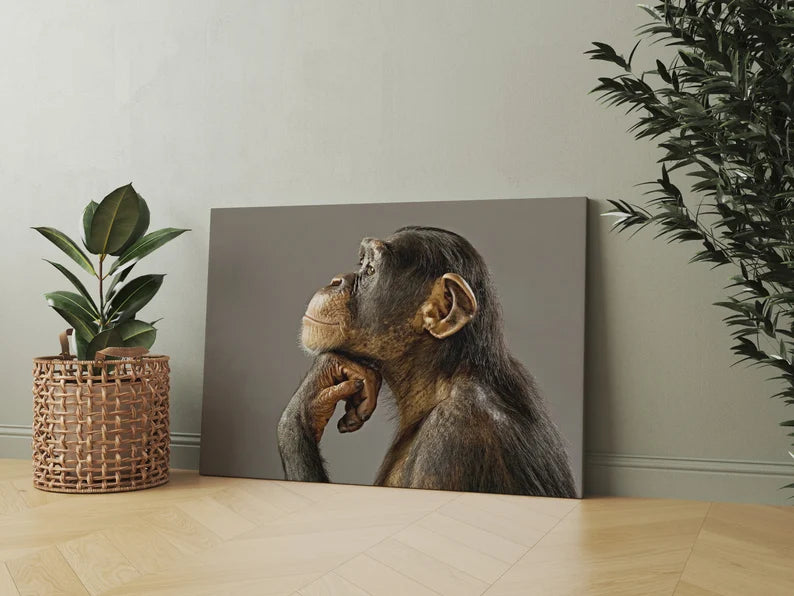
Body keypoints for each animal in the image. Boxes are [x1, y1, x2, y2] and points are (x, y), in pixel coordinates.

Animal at [277, 226, 576, 497]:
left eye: (371, 270)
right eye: (361, 263)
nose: (336, 280)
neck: (441, 378)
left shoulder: (453, 439)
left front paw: (305, 401)